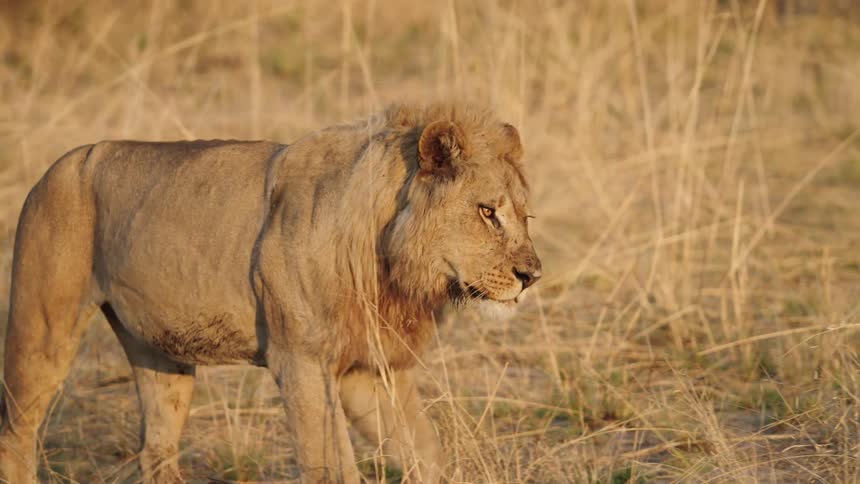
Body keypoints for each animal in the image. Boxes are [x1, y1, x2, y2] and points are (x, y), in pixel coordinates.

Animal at [0, 103, 541, 483]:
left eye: (524, 214)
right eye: (487, 212)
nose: (532, 275)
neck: (387, 259)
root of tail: (56, 167)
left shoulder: (365, 370)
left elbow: (425, 452)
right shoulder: (300, 362)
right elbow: (331, 468)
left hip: (160, 356)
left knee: (155, 452)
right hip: (41, 330)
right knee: (16, 434)